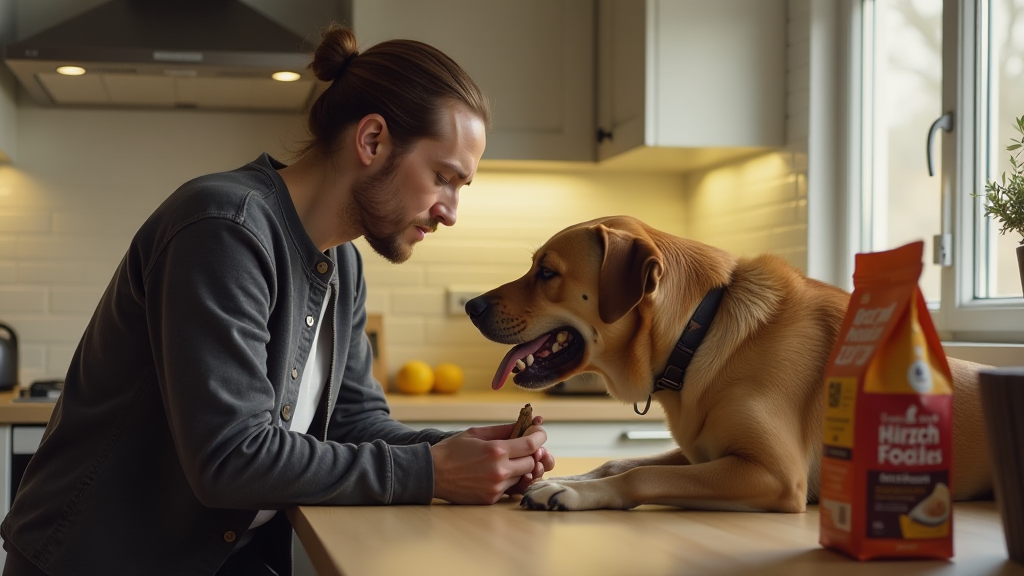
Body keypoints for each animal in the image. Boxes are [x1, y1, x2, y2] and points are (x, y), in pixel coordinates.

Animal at [464, 215, 991, 510]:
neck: (696, 336)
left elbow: (641, 474)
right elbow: (618, 459)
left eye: (547, 272)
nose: (470, 305)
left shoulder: (773, 473)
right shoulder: (704, 451)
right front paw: (568, 476)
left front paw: (571, 493)